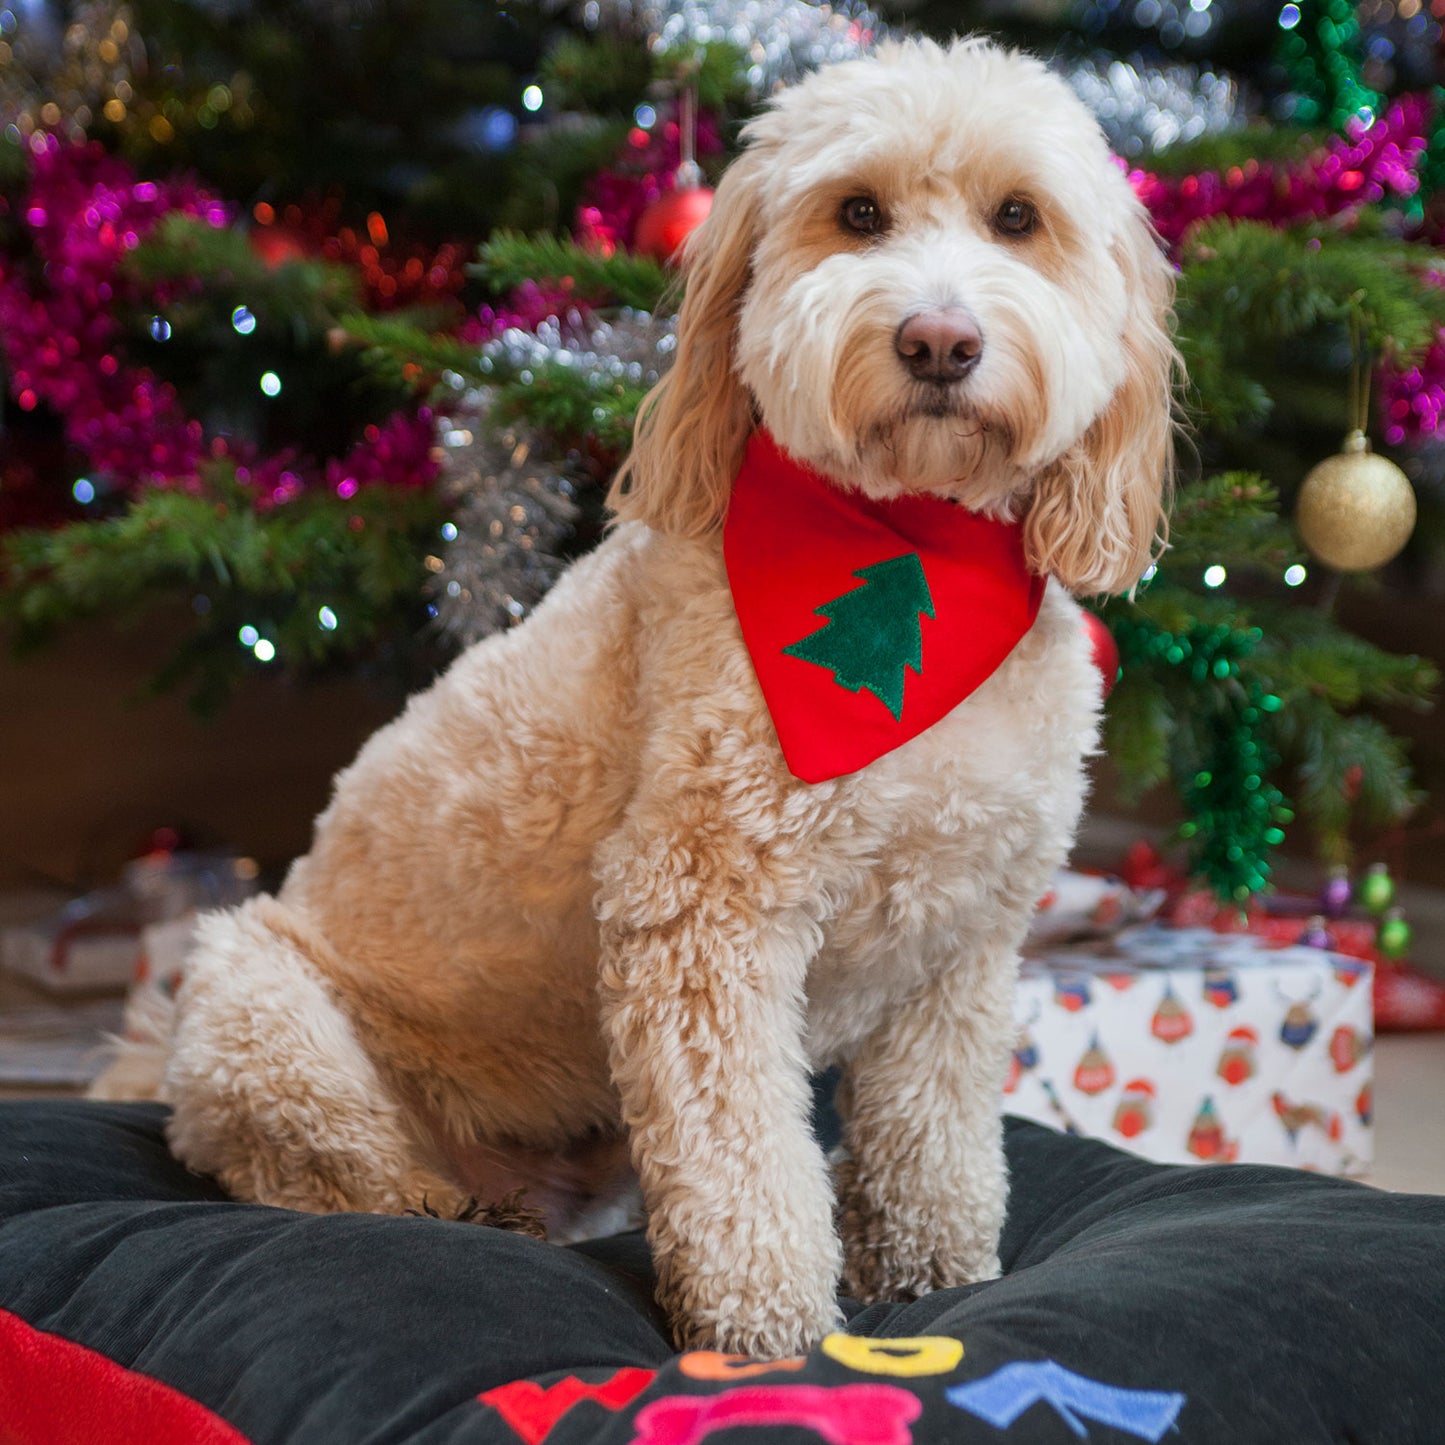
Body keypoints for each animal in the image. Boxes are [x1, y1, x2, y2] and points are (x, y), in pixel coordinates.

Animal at [112, 39, 1179, 1358]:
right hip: (255, 1005)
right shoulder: (702, 910)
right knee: (329, 1174)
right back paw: (453, 1206)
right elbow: (741, 1151)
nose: (938, 340)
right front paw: (768, 1325)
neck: (914, 541)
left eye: (1017, 219)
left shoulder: (960, 937)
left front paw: (933, 1273)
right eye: (857, 214)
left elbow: (932, 1136)